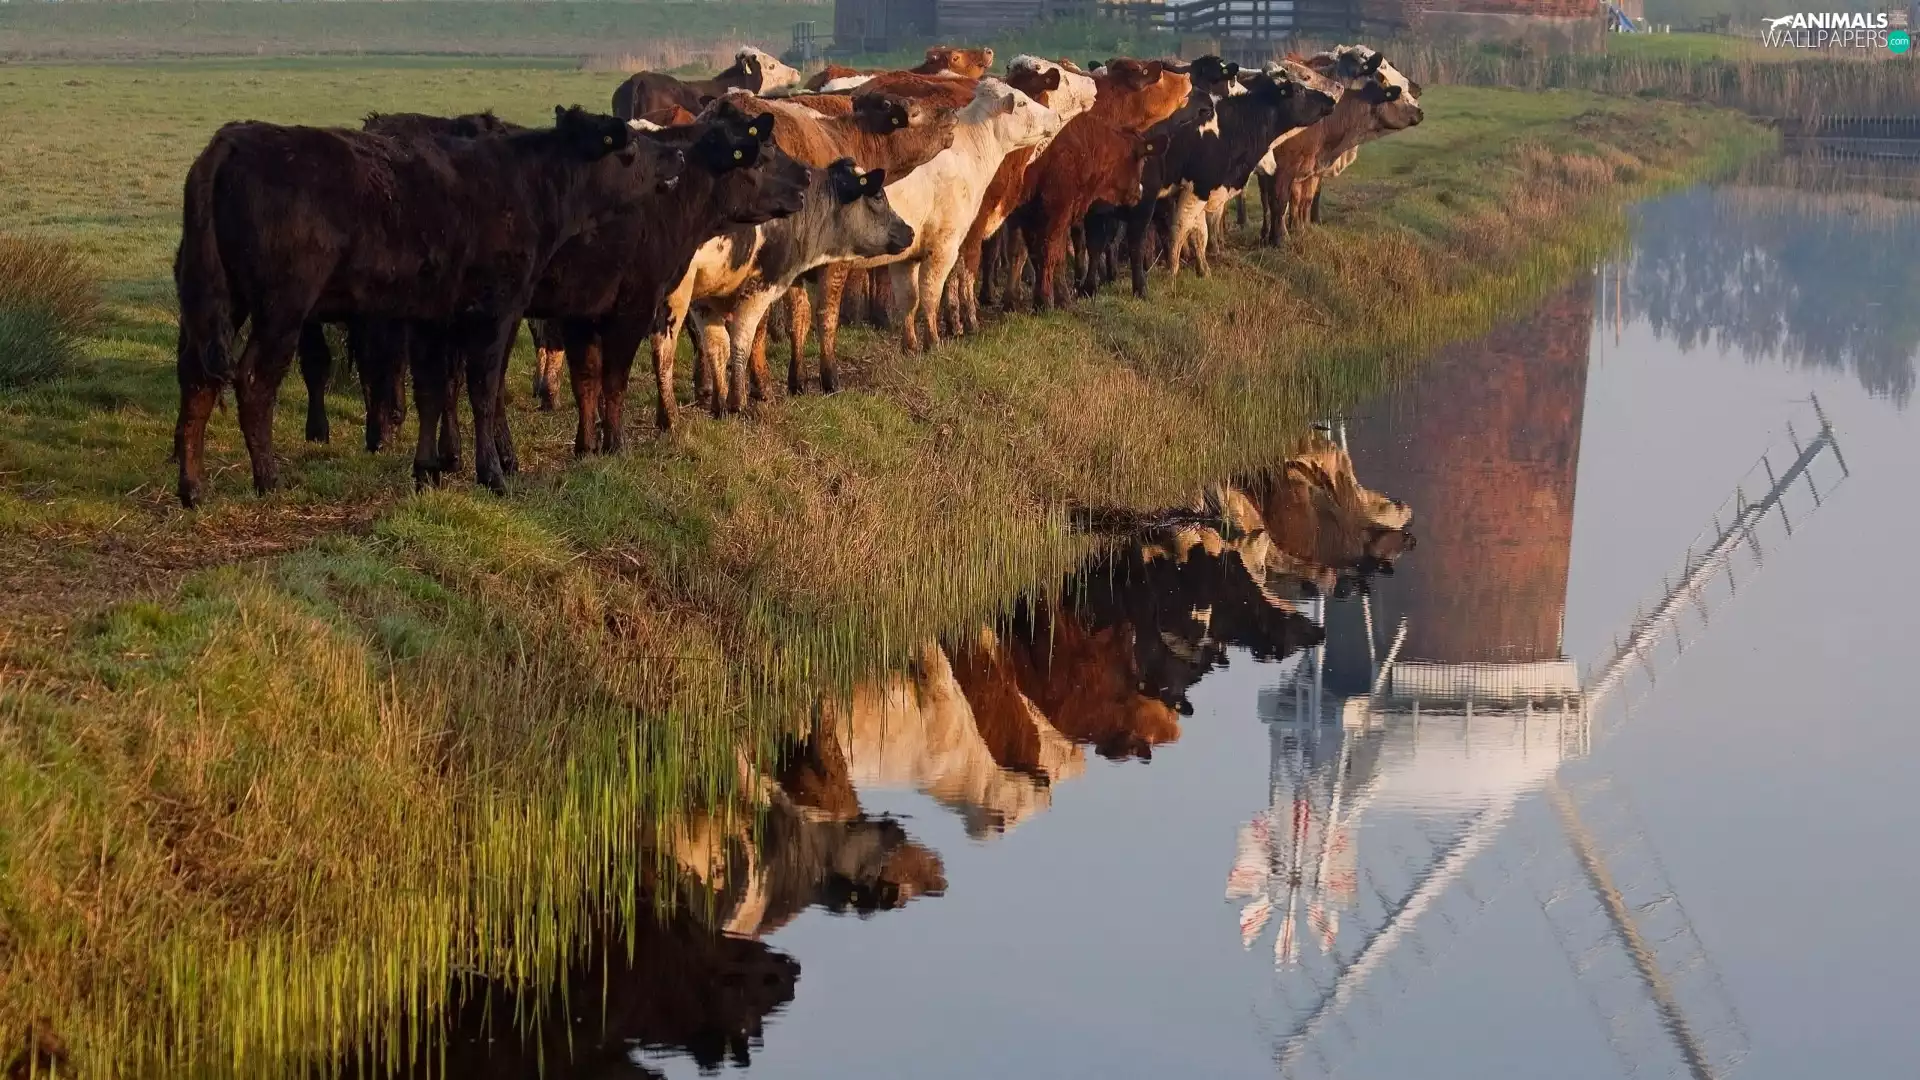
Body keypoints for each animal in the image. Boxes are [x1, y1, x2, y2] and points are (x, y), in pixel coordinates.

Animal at [171, 106, 683, 506]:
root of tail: (233, 140)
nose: (676, 155)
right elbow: (483, 392)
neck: (526, 185)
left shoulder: (435, 318)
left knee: (197, 380)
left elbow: (434, 391)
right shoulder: (496, 310)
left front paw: (427, 470)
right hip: (282, 308)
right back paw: (268, 479)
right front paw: (491, 474)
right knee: (253, 381)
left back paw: (192, 488)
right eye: (631, 147)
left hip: (223, 301)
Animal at [519, 109, 810, 458]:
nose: (806, 179)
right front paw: (623, 440)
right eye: (763, 154)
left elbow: (587, 378)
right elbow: (624, 372)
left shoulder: (584, 315)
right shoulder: (639, 305)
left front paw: (587, 444)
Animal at [646, 157, 915, 429]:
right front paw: (738, 403)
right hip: (675, 292)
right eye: (878, 195)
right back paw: (669, 418)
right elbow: (742, 339)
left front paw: (720, 407)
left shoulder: (706, 297)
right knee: (663, 348)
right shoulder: (761, 285)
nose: (910, 231)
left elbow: (717, 346)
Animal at [1255, 45, 1423, 245]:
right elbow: (1280, 201)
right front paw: (1282, 238)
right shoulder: (1286, 167)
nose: (1419, 110)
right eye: (1383, 76)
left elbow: (1302, 199)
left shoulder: (1307, 168)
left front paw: (1298, 229)